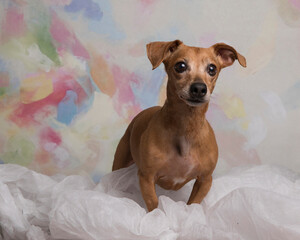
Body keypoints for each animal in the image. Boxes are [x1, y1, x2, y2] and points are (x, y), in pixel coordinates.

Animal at [112, 40, 246, 211]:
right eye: (180, 66)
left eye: (212, 68)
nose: (199, 88)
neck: (186, 125)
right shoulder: (147, 178)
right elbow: (155, 206)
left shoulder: (205, 180)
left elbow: (192, 204)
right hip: (119, 163)